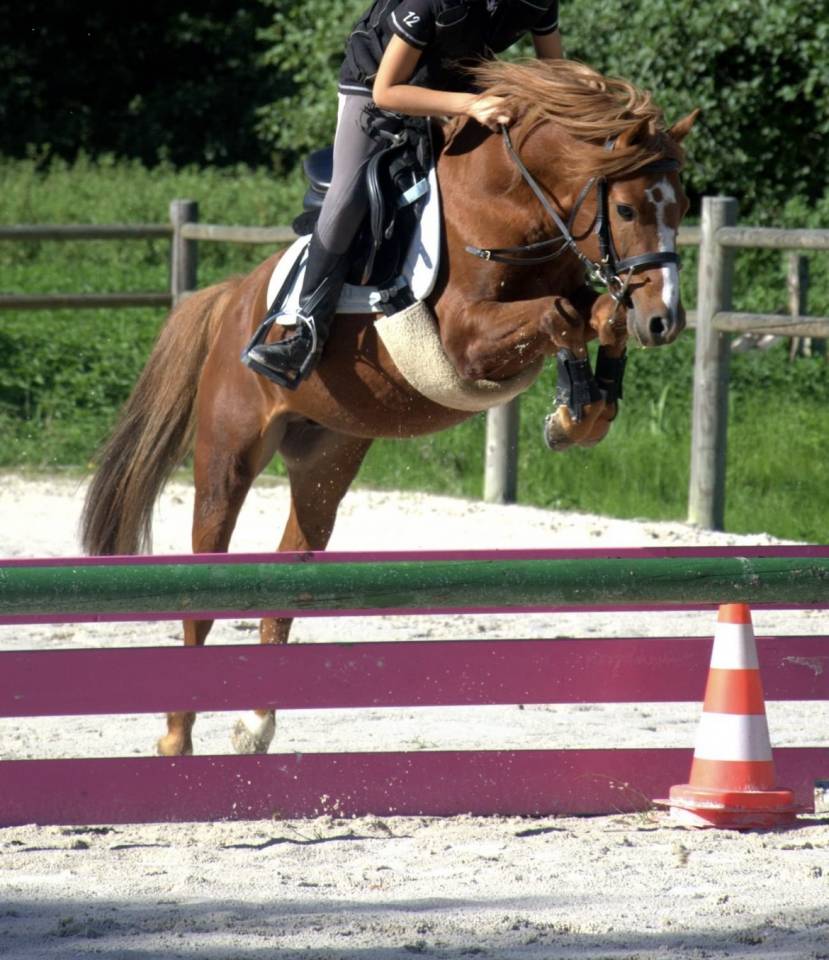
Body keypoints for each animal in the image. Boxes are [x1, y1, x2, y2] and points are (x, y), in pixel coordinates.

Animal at [80, 59, 697, 757]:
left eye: (682, 207)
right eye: (624, 207)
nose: (666, 321)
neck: (512, 205)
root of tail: (233, 297)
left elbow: (597, 315)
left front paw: (581, 413)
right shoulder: (465, 340)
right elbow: (562, 314)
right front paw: (576, 412)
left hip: (325, 460)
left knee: (292, 565)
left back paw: (255, 723)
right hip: (226, 455)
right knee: (202, 588)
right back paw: (176, 740)